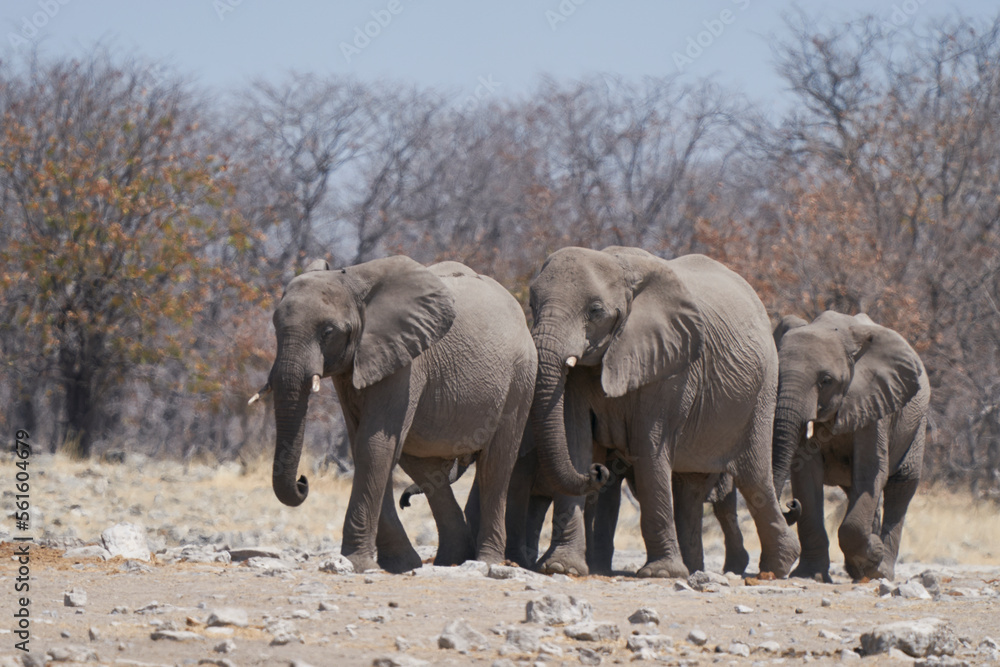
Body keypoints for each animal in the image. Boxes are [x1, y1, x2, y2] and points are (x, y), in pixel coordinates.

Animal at [258, 256, 536, 573]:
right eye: (275, 327)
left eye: (328, 332)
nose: (303, 482)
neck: (351, 280)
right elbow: (366, 446)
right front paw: (400, 563)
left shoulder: (406, 361)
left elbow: (374, 444)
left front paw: (357, 562)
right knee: (426, 470)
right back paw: (449, 560)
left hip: (520, 379)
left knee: (496, 465)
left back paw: (484, 561)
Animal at [526, 246, 799, 578]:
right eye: (532, 304)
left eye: (595, 311)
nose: (599, 470)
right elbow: (573, 438)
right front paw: (561, 567)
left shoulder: (672, 367)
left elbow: (649, 447)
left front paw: (661, 574)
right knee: (689, 489)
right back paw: (695, 569)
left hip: (762, 392)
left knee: (754, 477)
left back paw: (776, 567)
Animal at [771, 311, 930, 582]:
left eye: (826, 380)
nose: (790, 504)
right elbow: (806, 473)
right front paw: (809, 575)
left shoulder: (876, 401)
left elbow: (871, 471)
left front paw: (874, 551)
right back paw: (861, 569)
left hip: (916, 422)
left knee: (902, 485)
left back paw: (880, 571)